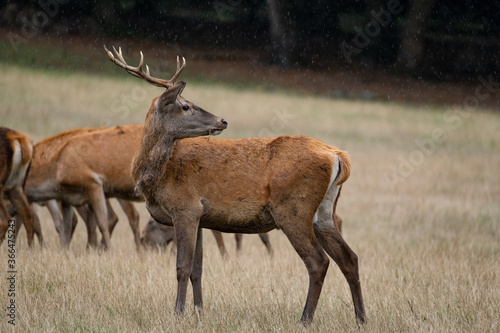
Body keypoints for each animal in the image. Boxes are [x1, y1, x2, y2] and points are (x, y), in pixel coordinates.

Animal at [105, 46, 366, 324]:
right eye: (186, 106)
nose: (222, 121)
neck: (158, 176)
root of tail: (338, 156)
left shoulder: (185, 207)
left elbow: (181, 266)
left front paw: (178, 313)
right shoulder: (199, 216)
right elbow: (197, 269)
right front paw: (199, 311)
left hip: (294, 209)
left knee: (318, 261)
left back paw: (305, 319)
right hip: (324, 212)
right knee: (349, 258)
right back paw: (361, 318)